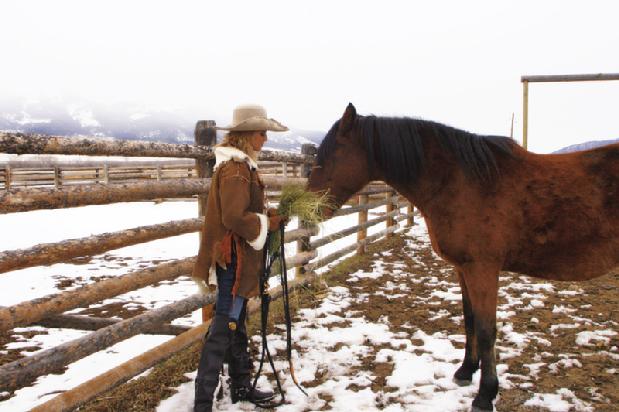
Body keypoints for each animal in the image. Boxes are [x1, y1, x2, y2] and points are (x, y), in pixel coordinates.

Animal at [308, 102, 619, 408]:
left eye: (332, 153)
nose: (310, 208)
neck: (461, 181)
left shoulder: (483, 269)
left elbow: (486, 329)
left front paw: (485, 395)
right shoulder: (463, 268)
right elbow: (469, 319)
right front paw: (466, 370)